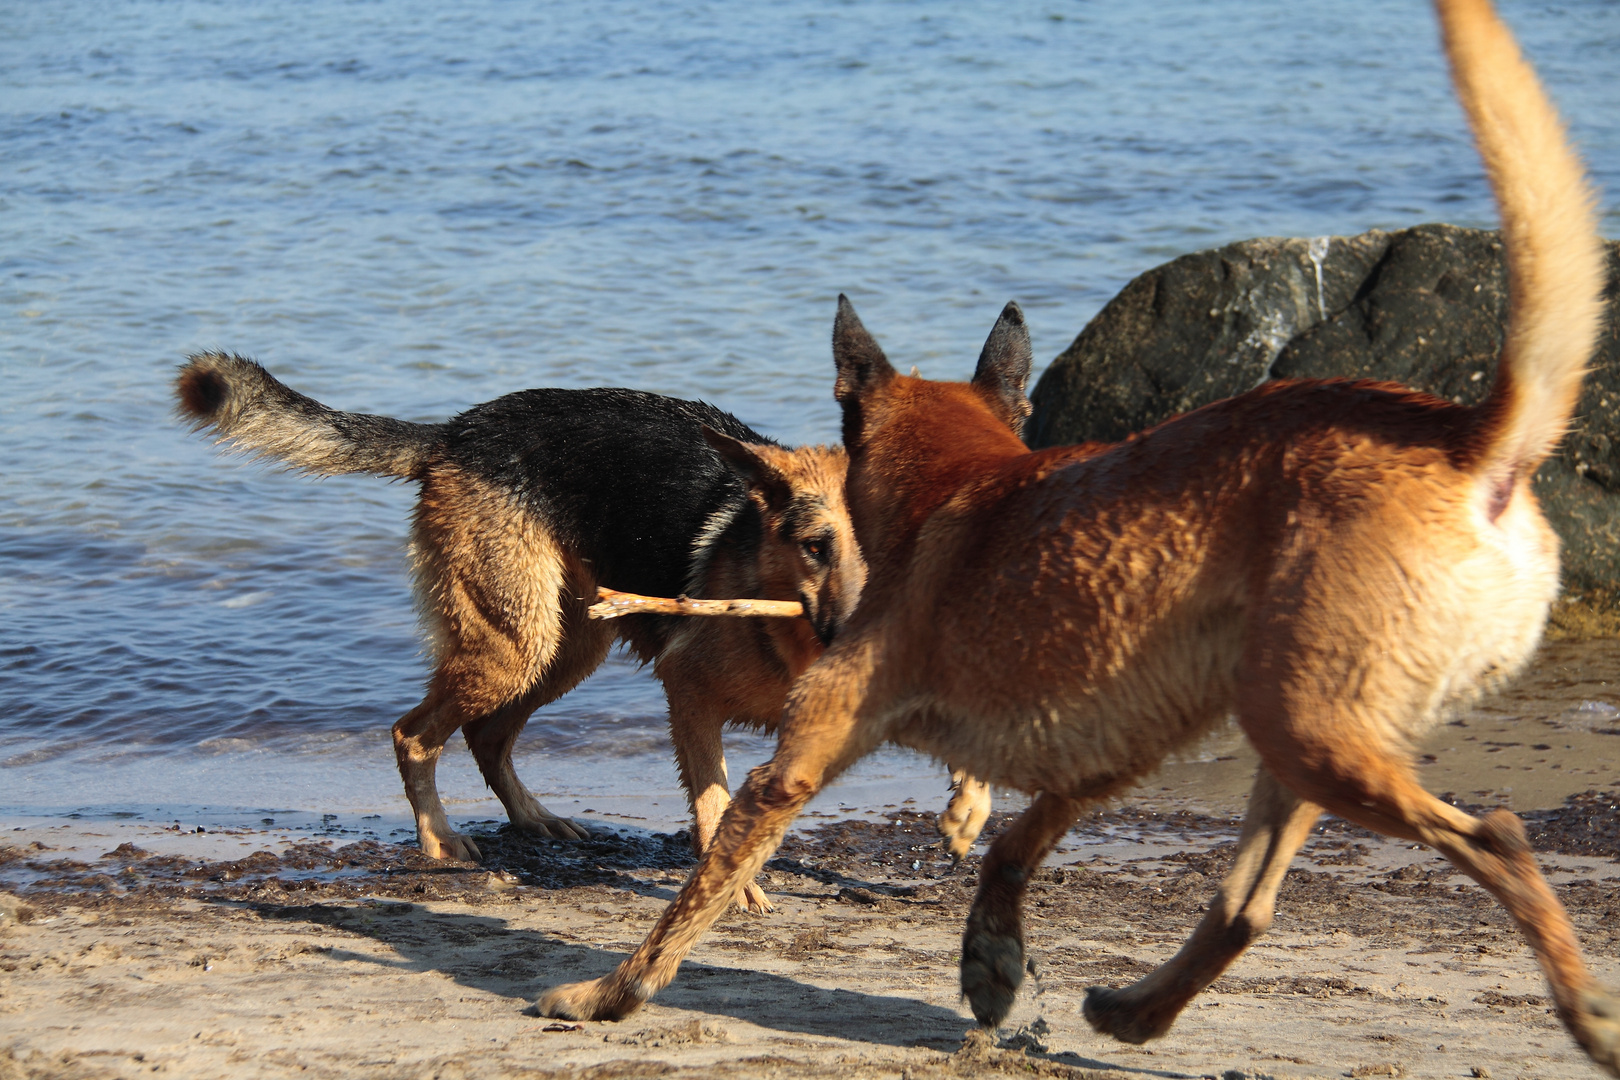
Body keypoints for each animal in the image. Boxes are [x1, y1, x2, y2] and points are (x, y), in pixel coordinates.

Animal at [170, 362, 991, 913]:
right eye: (818, 547)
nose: (858, 633)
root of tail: (459, 429)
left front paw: (968, 809)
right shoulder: (689, 696)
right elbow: (713, 803)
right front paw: (731, 885)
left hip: (564, 645)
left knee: (487, 736)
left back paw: (536, 819)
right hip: (515, 646)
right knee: (415, 733)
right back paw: (439, 842)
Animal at [541, 0, 1620, 1062]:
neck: (961, 480)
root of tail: (1470, 440)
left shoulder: (800, 756)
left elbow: (697, 893)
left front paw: (611, 992)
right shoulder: (1106, 748)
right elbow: (1013, 844)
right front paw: (990, 961)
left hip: (1314, 736)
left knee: (1498, 837)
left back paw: (1587, 1014)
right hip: (1297, 723)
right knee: (1245, 907)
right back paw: (1137, 1011)